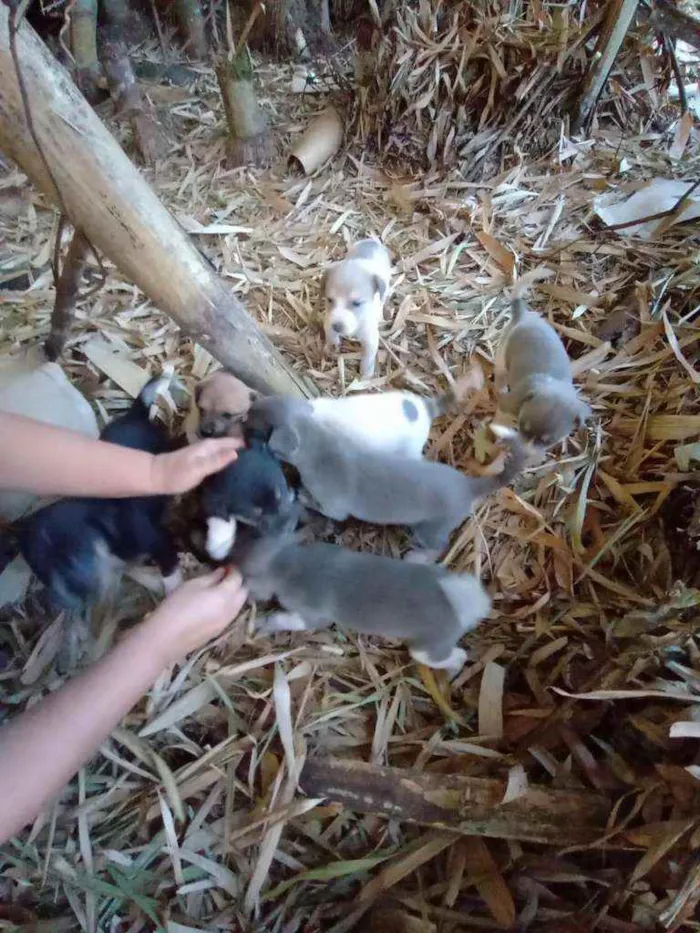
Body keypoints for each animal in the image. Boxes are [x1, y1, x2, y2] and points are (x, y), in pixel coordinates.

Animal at [12, 374, 180, 608]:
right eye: (44, 576)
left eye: (71, 558)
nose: (60, 605)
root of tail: (134, 412)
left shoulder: (159, 540)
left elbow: (170, 568)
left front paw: (174, 591)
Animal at [235, 532, 492, 676]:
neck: (289, 562)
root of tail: (461, 607)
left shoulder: (310, 613)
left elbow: (290, 619)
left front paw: (266, 623)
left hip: (426, 650)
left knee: (458, 656)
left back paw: (452, 672)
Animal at [243, 396, 524, 556]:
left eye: (256, 426)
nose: (241, 419)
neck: (320, 442)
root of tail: (467, 485)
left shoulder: (335, 506)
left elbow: (321, 505)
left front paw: (301, 494)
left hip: (431, 529)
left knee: (437, 546)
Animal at [324, 238, 392, 380]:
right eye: (330, 300)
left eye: (356, 303)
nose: (337, 326)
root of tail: (373, 241)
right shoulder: (328, 321)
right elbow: (331, 336)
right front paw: (330, 348)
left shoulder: (370, 339)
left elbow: (367, 359)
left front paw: (365, 376)